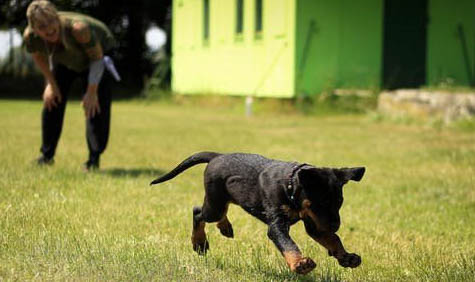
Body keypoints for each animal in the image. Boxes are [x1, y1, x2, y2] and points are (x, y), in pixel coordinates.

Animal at [151, 151, 366, 274]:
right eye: (321, 202)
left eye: (339, 202)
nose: (336, 225)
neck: (290, 186)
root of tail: (217, 156)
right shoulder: (278, 225)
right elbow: (288, 244)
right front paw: (300, 263)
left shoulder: (315, 224)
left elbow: (333, 239)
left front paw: (346, 257)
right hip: (215, 204)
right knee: (198, 212)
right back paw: (199, 243)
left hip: (224, 199)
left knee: (219, 212)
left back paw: (225, 228)